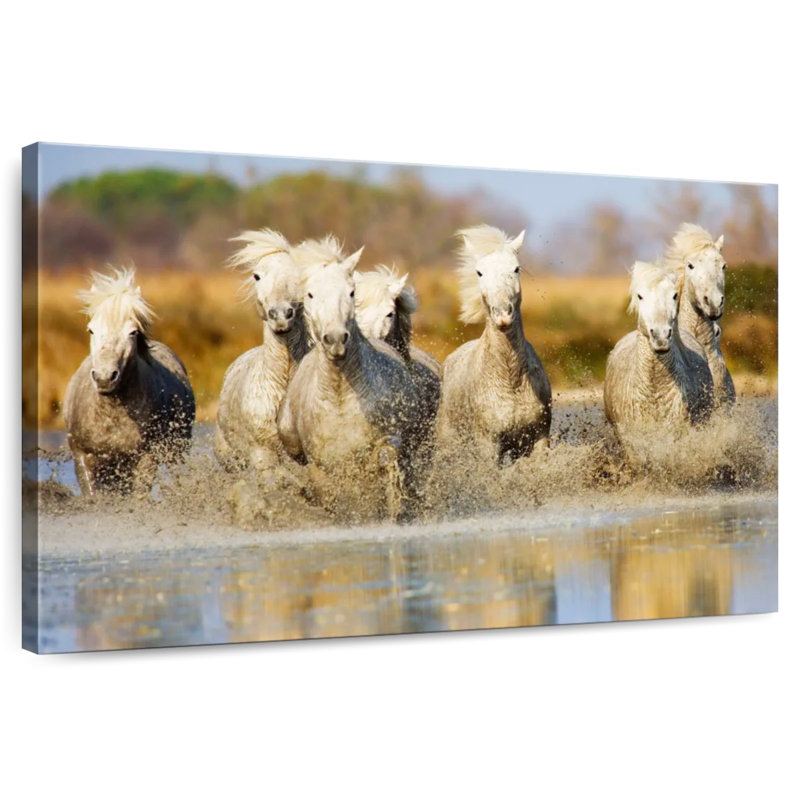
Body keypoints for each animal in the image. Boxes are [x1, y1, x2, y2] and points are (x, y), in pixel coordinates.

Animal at [63, 267, 195, 495]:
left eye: (133, 332)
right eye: (91, 330)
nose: (105, 378)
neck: (111, 416)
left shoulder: (146, 458)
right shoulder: (83, 456)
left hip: (177, 450)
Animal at [277, 238, 432, 519]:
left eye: (351, 293)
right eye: (310, 294)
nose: (336, 339)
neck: (340, 394)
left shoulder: (390, 439)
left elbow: (386, 461)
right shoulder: (319, 465)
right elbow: (329, 498)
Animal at [436, 225, 551, 464]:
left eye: (516, 268)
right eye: (479, 272)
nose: (503, 316)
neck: (510, 378)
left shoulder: (538, 439)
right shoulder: (488, 444)